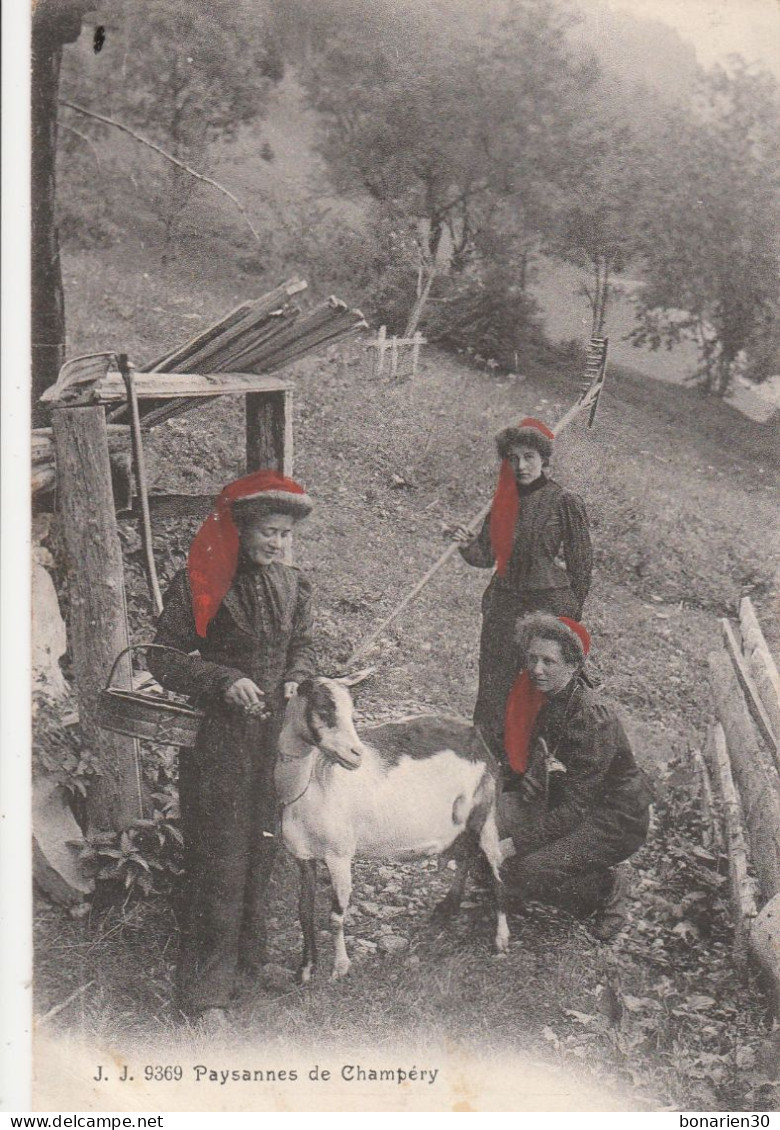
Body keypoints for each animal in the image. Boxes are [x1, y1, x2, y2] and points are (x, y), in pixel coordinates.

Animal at [274, 678, 510, 980]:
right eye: (324, 710)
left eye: (351, 712)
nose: (356, 755)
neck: (313, 782)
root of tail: (477, 739)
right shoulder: (303, 856)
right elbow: (304, 911)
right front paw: (305, 970)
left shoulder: (339, 855)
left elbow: (336, 915)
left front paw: (340, 968)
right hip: (461, 822)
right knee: (466, 855)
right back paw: (447, 909)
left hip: (484, 813)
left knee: (494, 866)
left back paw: (501, 939)